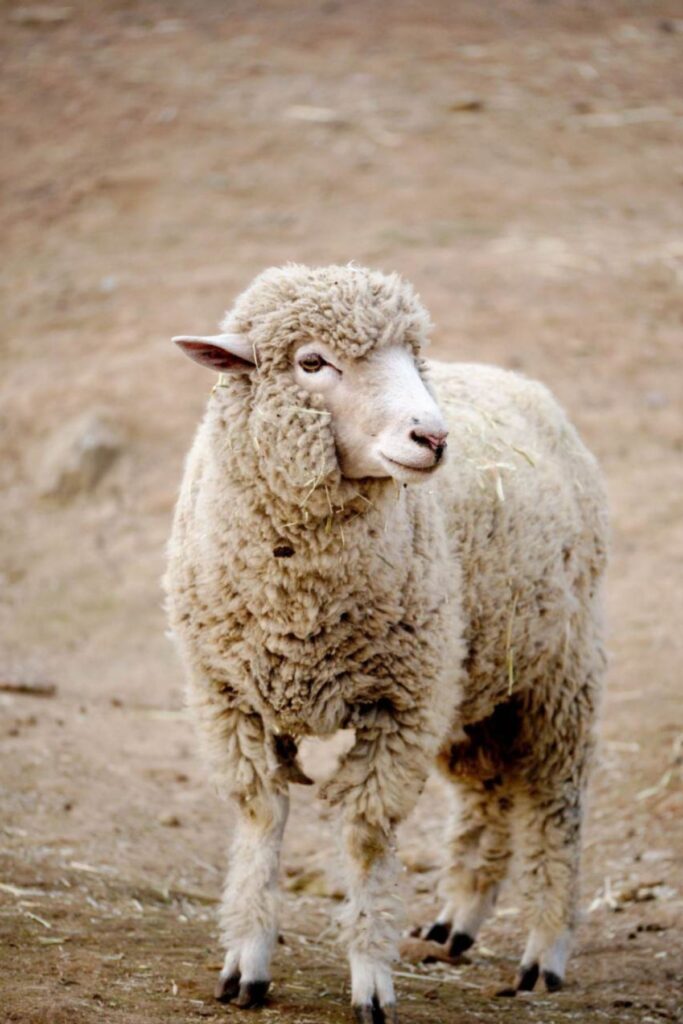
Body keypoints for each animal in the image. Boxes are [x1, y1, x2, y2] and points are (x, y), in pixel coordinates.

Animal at [164, 263, 608, 1023]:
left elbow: (367, 837)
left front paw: (370, 977)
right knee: (487, 793)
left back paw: (543, 953)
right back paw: (458, 919)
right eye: (312, 362)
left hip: (555, 676)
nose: (432, 437)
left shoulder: (399, 708)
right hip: (473, 679)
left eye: (411, 358)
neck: (300, 605)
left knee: (556, 805)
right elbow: (260, 819)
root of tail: (517, 381)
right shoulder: (230, 698)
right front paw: (246, 961)